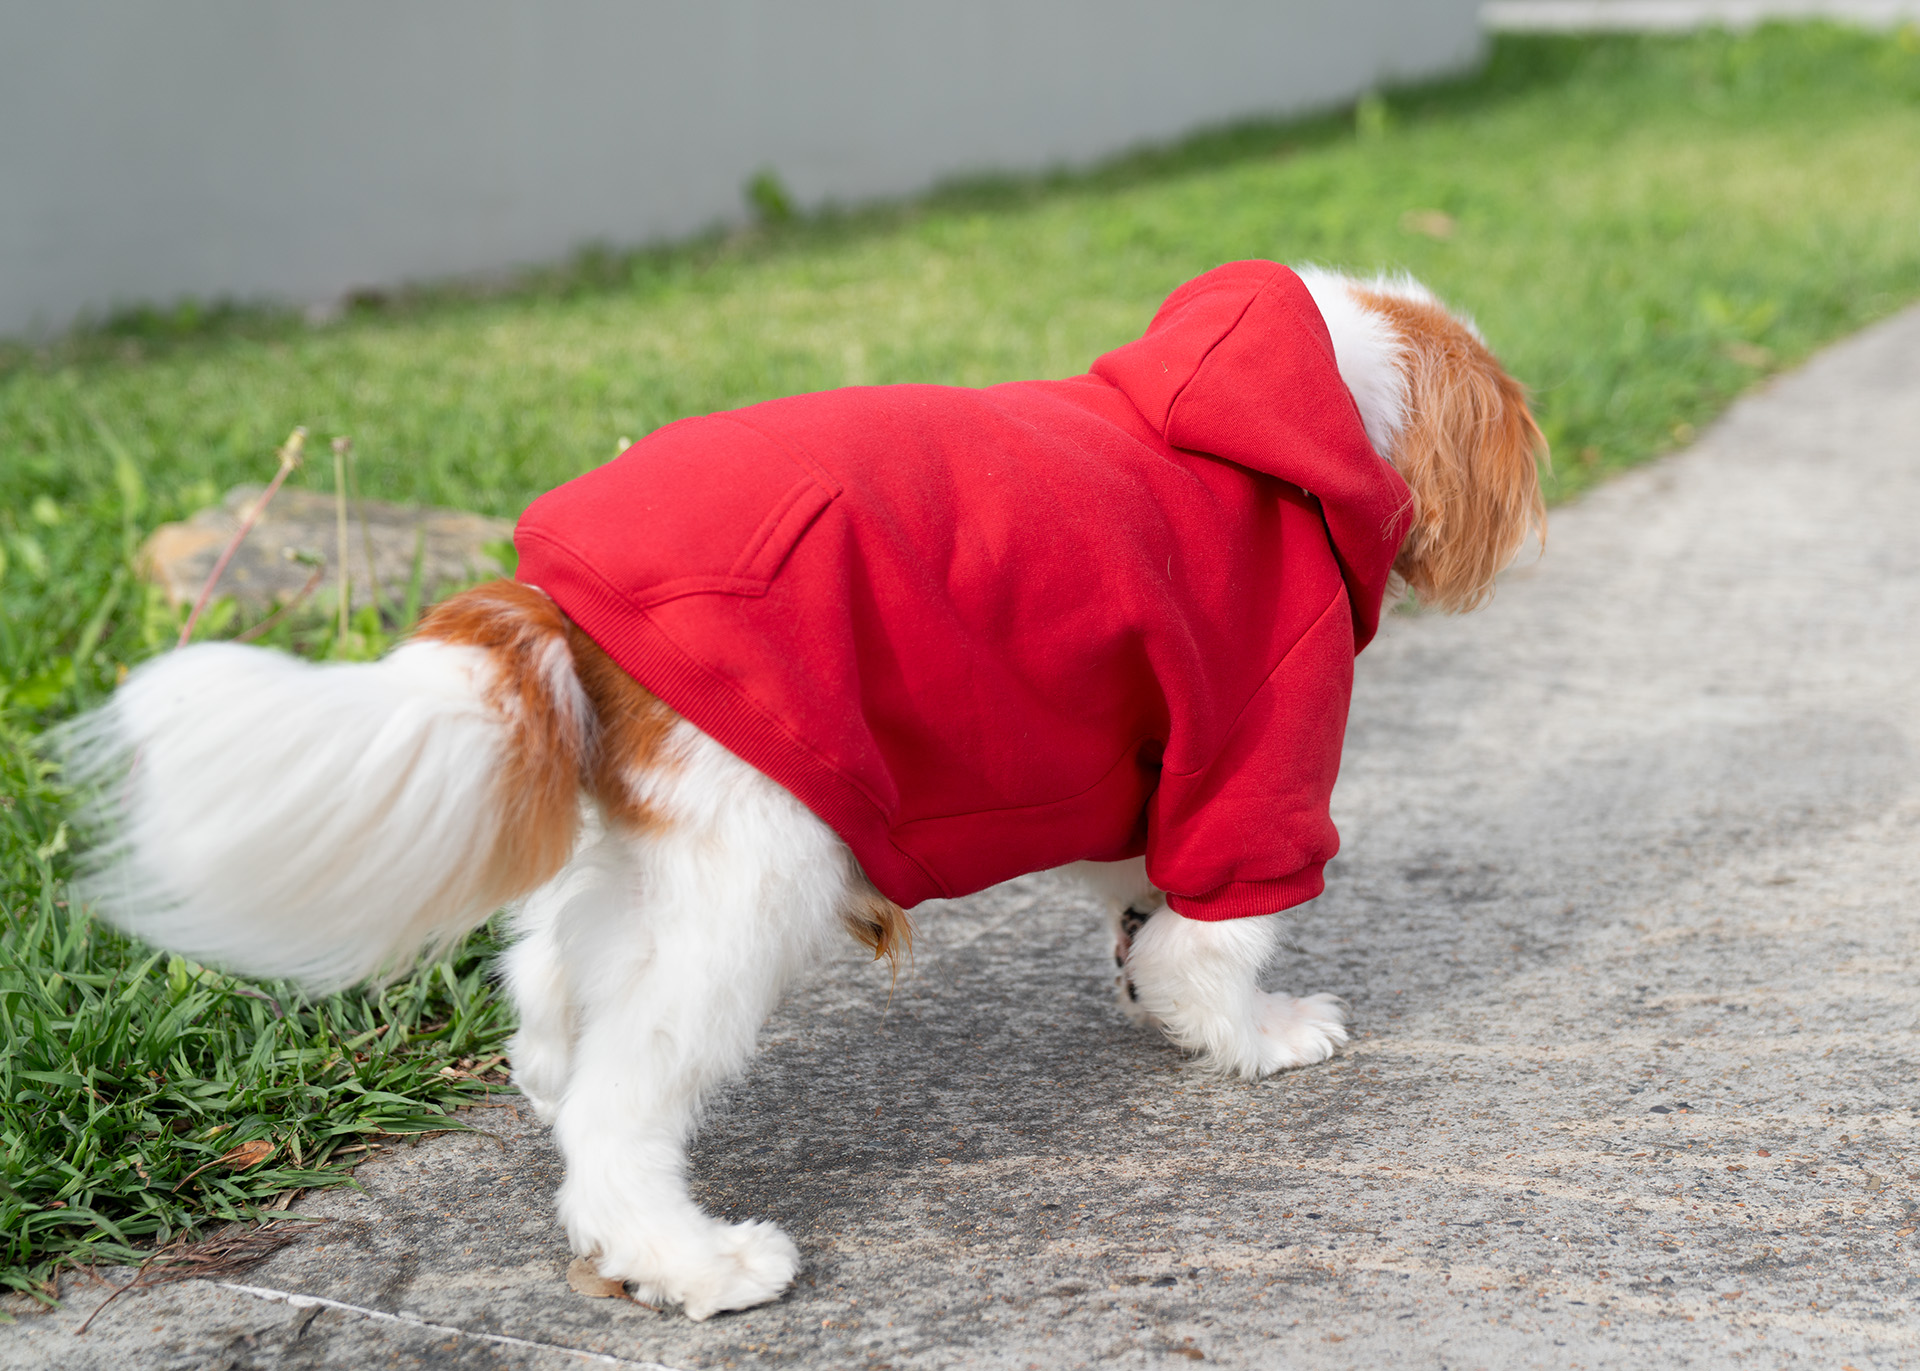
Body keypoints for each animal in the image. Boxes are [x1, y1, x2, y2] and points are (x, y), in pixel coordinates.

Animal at [61, 262, 1544, 1319]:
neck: (1280, 402)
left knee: (549, 975)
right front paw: (1255, 1031)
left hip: (666, 845)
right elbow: (1216, 933)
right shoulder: (1256, 739)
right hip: (756, 874)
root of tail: (554, 591)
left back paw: (555, 1084)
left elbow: (1149, 902)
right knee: (622, 1098)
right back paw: (687, 1260)